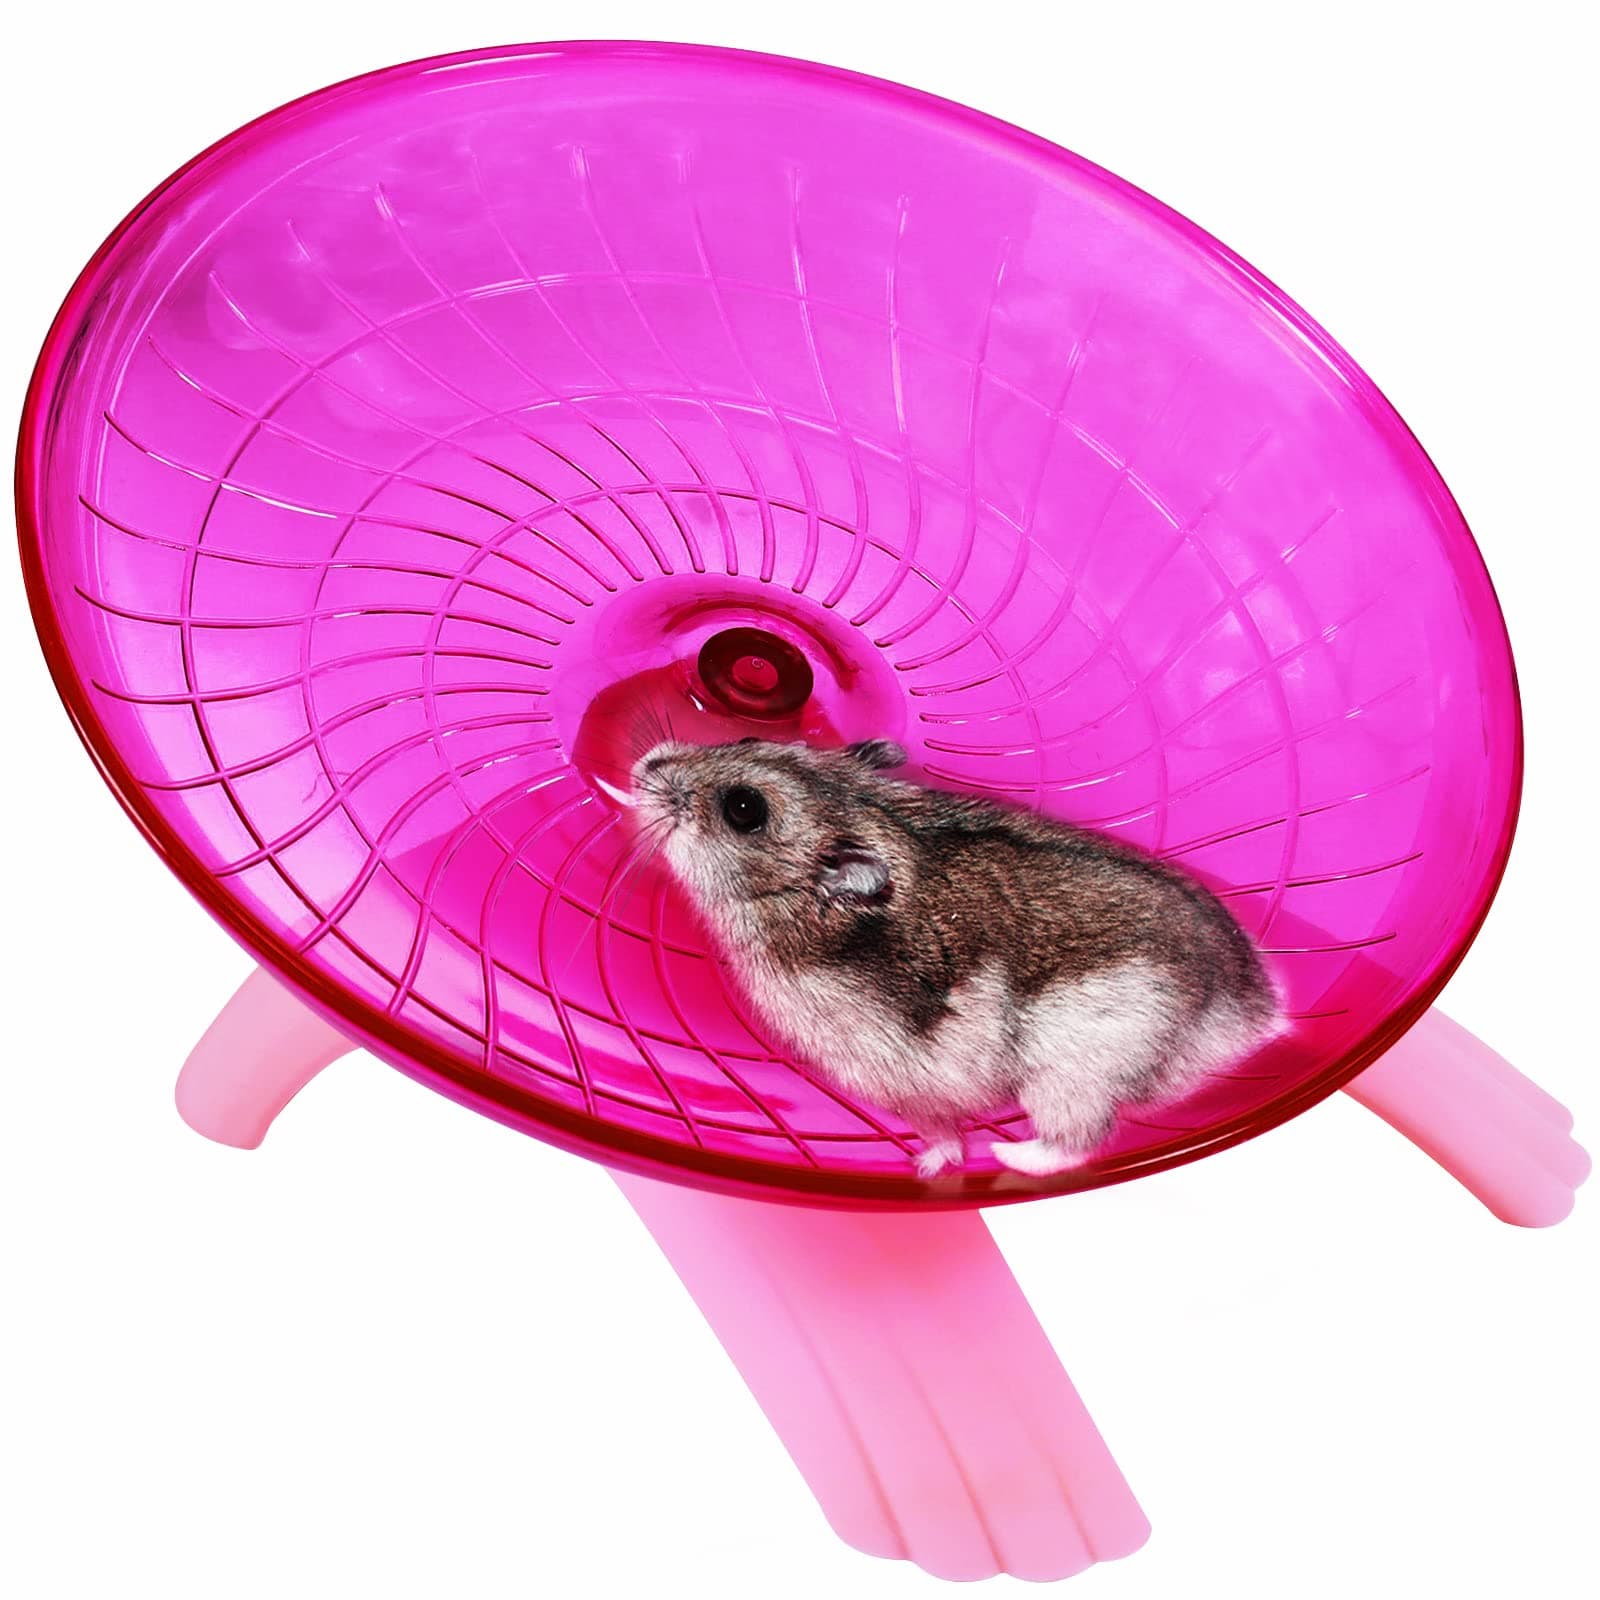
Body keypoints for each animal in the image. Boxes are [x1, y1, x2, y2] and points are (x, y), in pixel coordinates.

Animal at [629, 737, 1285, 1179]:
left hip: (1071, 1080)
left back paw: (1006, 1153)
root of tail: (1256, 1013)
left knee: (1078, 1142)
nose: (642, 766)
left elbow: (940, 1133)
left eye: (744, 809)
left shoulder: (897, 1080)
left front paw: (926, 1166)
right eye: (744, 739)